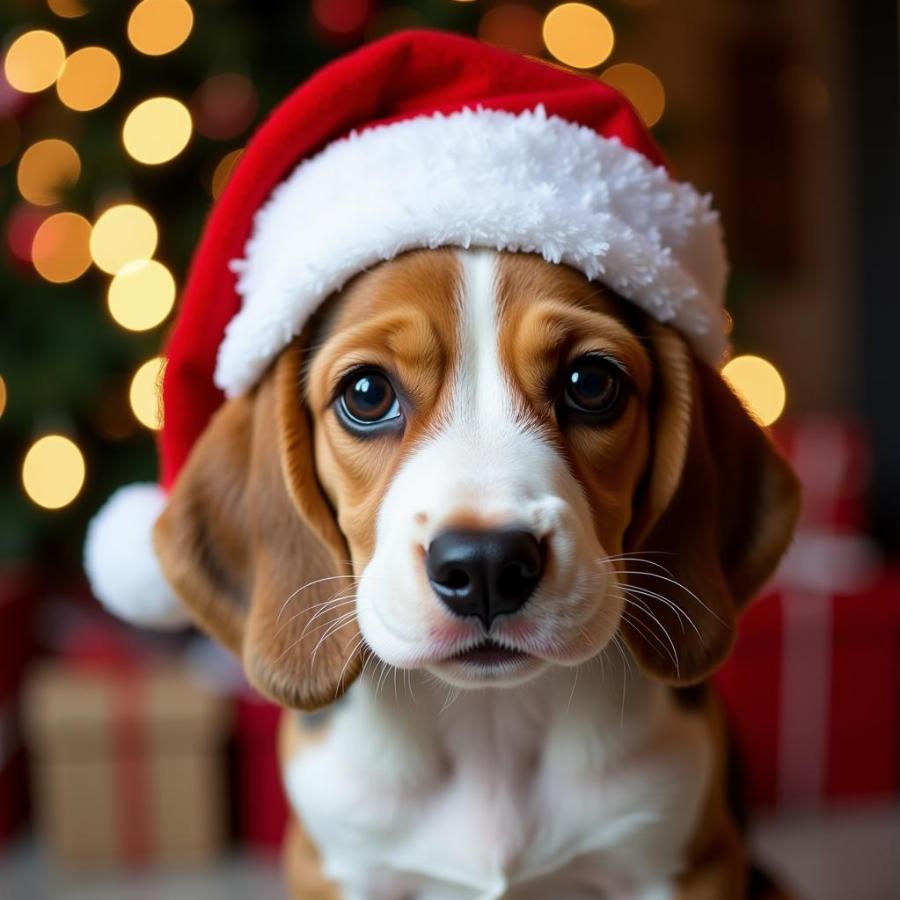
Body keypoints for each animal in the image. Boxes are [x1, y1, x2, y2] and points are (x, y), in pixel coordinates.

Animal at [155, 248, 800, 900]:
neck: (491, 724)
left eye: (591, 383)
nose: (486, 564)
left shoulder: (686, 863)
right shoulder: (336, 869)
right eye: (366, 394)